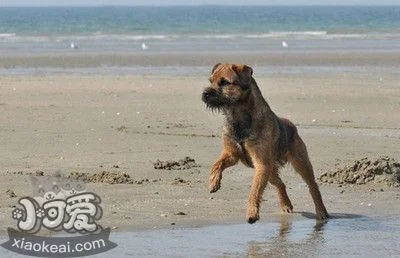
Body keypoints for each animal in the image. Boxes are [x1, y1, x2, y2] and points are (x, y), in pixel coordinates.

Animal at [202, 63, 330, 224]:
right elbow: (217, 164)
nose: (205, 94)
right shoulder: (232, 154)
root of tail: (291, 124)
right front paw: (213, 182)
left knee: (312, 186)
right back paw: (286, 204)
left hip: (300, 163)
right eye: (210, 80)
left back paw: (321, 211)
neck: (238, 116)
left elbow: (254, 191)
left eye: (224, 82)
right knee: (280, 183)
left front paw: (252, 212)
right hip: (270, 171)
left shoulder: (261, 164)